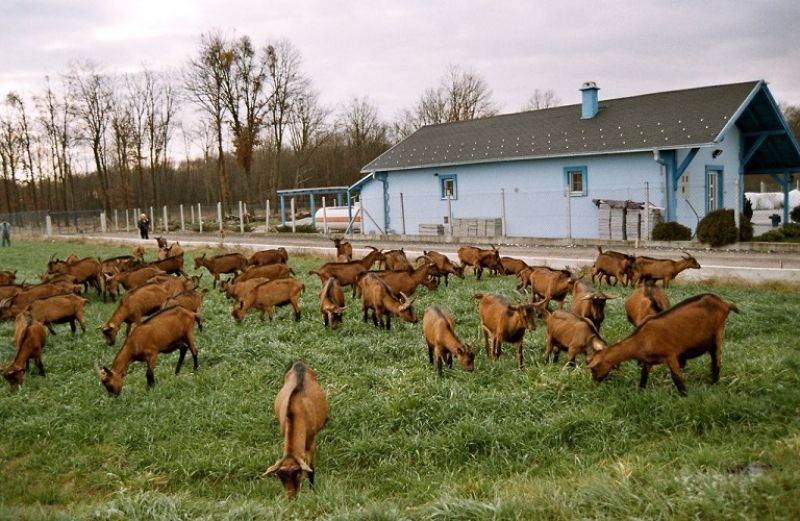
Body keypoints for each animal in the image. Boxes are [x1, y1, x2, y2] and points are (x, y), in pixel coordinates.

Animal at [260, 360, 326, 498]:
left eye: (298, 474)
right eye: (280, 477)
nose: (291, 498)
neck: (296, 411)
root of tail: (298, 363)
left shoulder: (311, 442)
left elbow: (311, 469)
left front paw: (313, 492)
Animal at [588, 292, 736, 394]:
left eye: (593, 369)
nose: (595, 381)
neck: (641, 339)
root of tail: (725, 304)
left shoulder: (671, 355)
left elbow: (676, 378)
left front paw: (685, 395)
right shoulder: (648, 361)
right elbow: (643, 377)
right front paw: (640, 392)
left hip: (718, 334)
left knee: (716, 361)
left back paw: (714, 384)